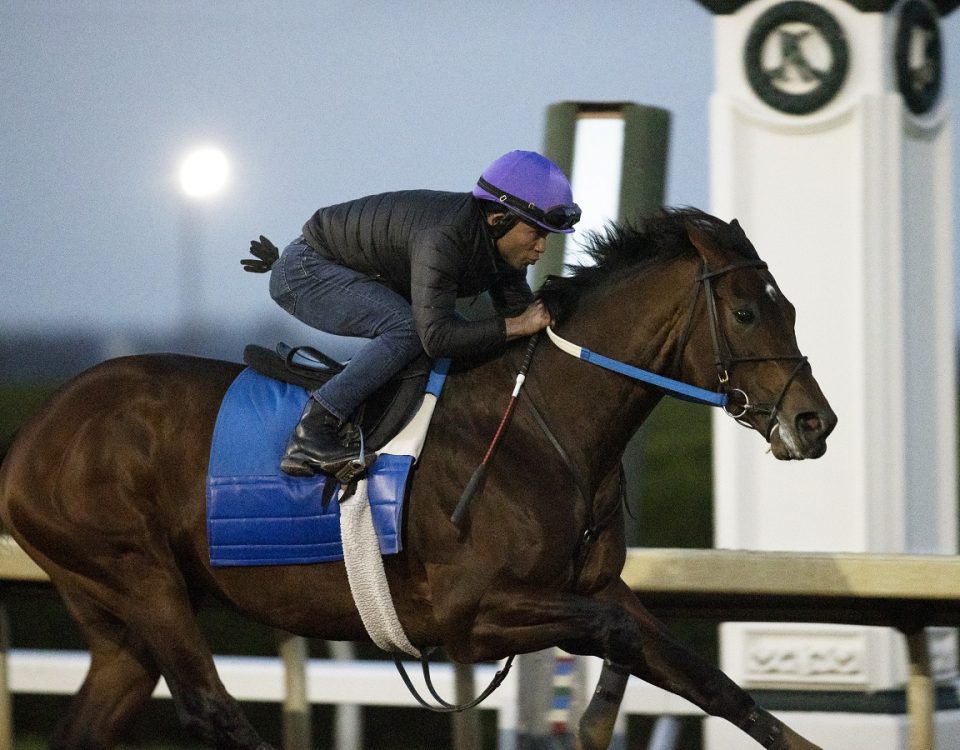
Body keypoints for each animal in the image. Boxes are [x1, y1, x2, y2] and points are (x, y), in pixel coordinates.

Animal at [0, 207, 832, 750]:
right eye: (748, 312)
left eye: (791, 304)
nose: (815, 422)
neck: (539, 425)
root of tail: (34, 431)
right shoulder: (472, 615)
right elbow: (617, 637)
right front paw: (594, 724)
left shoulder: (592, 586)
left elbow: (710, 682)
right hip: (138, 575)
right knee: (213, 708)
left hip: (116, 619)